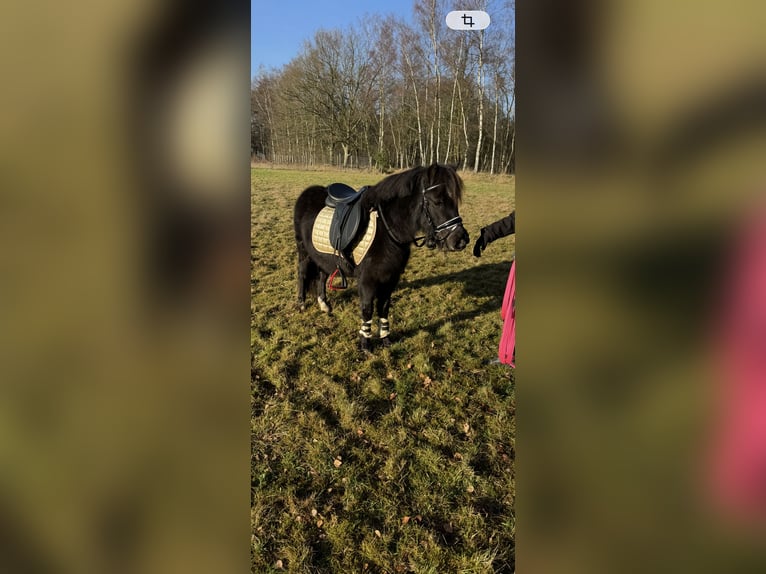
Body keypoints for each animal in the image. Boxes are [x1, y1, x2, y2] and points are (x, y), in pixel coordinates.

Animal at [293, 163, 470, 352]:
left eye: (455, 201)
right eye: (438, 201)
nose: (461, 240)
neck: (387, 230)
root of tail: (307, 193)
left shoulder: (391, 279)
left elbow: (384, 308)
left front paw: (386, 339)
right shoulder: (367, 281)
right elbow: (367, 310)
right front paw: (365, 344)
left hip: (322, 257)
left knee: (321, 276)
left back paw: (324, 304)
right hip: (303, 251)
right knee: (302, 274)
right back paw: (301, 303)